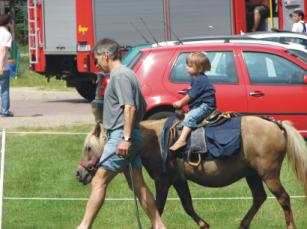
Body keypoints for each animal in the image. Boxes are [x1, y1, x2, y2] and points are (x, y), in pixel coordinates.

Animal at [76, 116, 307, 229]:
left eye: (88, 148)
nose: (79, 174)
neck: (155, 140)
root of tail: (277, 125)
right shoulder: (178, 180)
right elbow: (187, 205)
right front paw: (204, 225)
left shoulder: (163, 181)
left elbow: (157, 207)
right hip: (252, 175)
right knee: (259, 198)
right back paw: (243, 224)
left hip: (269, 175)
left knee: (284, 199)